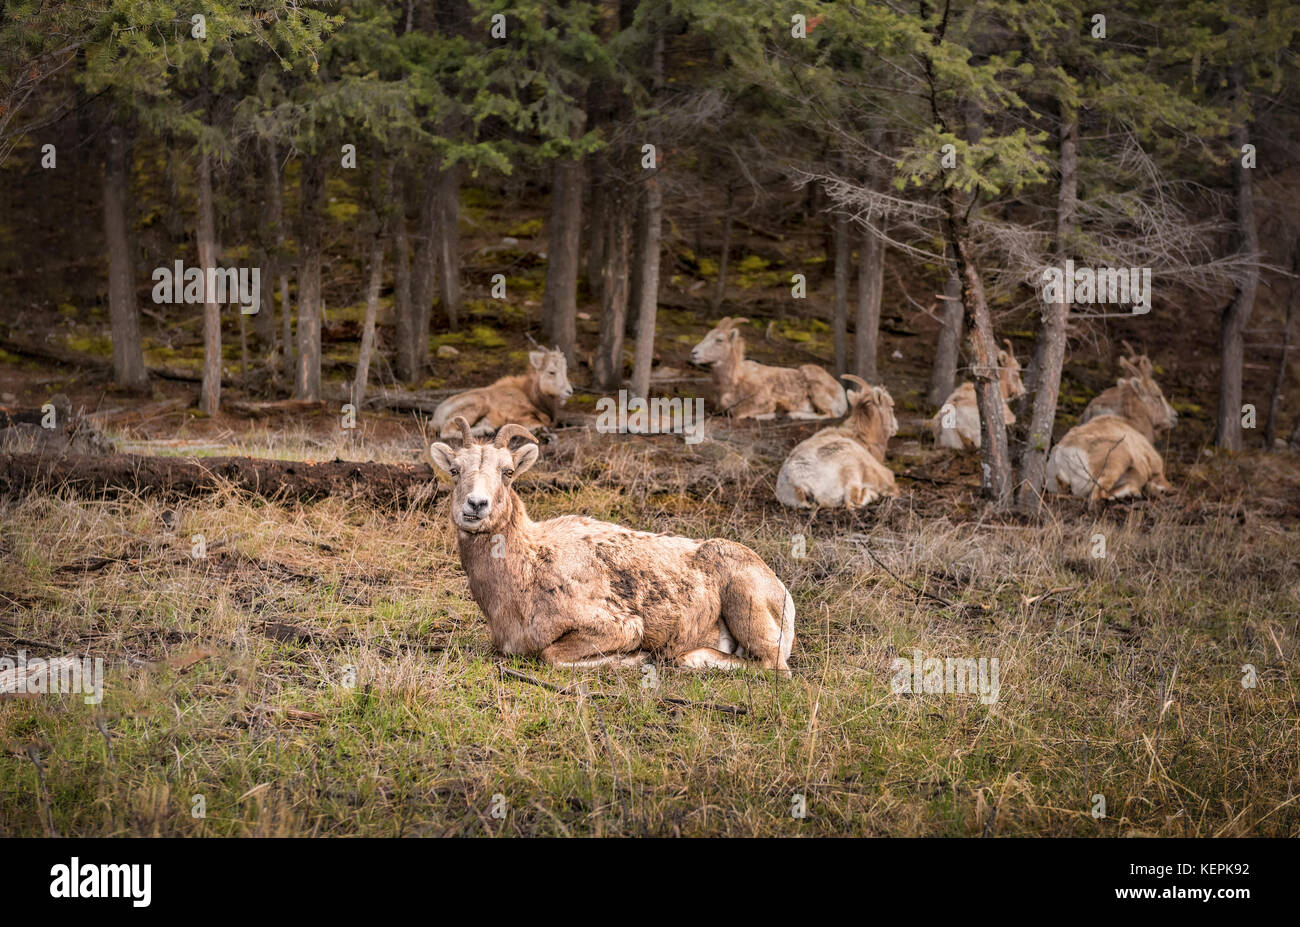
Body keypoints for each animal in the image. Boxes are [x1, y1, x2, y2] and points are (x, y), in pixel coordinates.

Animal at [426, 418, 795, 670]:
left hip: (746, 603)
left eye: (509, 472)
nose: (476, 504)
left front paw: (637, 658)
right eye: (455, 470)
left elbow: (551, 656)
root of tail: (782, 591)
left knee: (773, 667)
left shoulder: (620, 626)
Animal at [431, 348, 574, 439]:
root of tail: (437, 415)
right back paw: (486, 430)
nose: (569, 391)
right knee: (446, 432)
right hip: (477, 406)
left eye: (565, 370)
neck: (532, 397)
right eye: (551, 372)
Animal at [686, 318, 847, 418]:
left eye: (719, 340)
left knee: (831, 414)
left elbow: (741, 413)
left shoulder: (763, 402)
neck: (733, 383)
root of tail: (841, 393)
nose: (694, 353)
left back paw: (791, 415)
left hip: (817, 390)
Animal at [774, 371, 899, 509]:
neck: (861, 438)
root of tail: (800, 486)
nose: (896, 428)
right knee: (852, 501)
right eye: (892, 406)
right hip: (851, 466)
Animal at [1045, 358, 1180, 507]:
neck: (1133, 425)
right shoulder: (1157, 470)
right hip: (1118, 460)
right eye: (1157, 395)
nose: (1175, 416)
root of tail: (1062, 460)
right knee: (1098, 495)